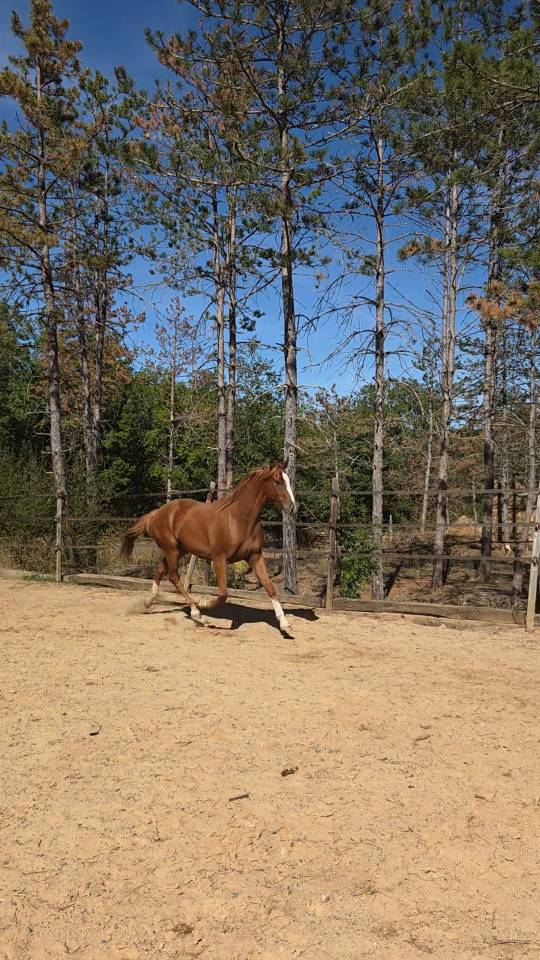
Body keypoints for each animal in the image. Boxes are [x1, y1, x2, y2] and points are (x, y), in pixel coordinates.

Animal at [120, 462, 297, 632]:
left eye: (288, 480)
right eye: (277, 481)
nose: (293, 508)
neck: (238, 519)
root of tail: (156, 513)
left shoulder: (255, 556)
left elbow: (270, 588)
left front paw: (285, 625)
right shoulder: (219, 558)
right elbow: (223, 593)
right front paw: (204, 603)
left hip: (180, 550)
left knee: (159, 569)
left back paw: (148, 603)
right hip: (171, 549)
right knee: (173, 577)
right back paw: (198, 614)